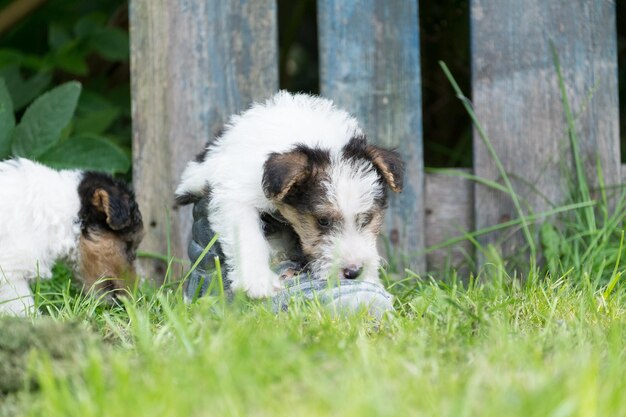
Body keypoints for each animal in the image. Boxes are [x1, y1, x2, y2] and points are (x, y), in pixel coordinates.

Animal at [174, 92, 404, 298]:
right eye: (322, 221)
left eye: (367, 218)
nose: (353, 272)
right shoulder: (234, 194)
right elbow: (248, 234)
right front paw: (257, 281)